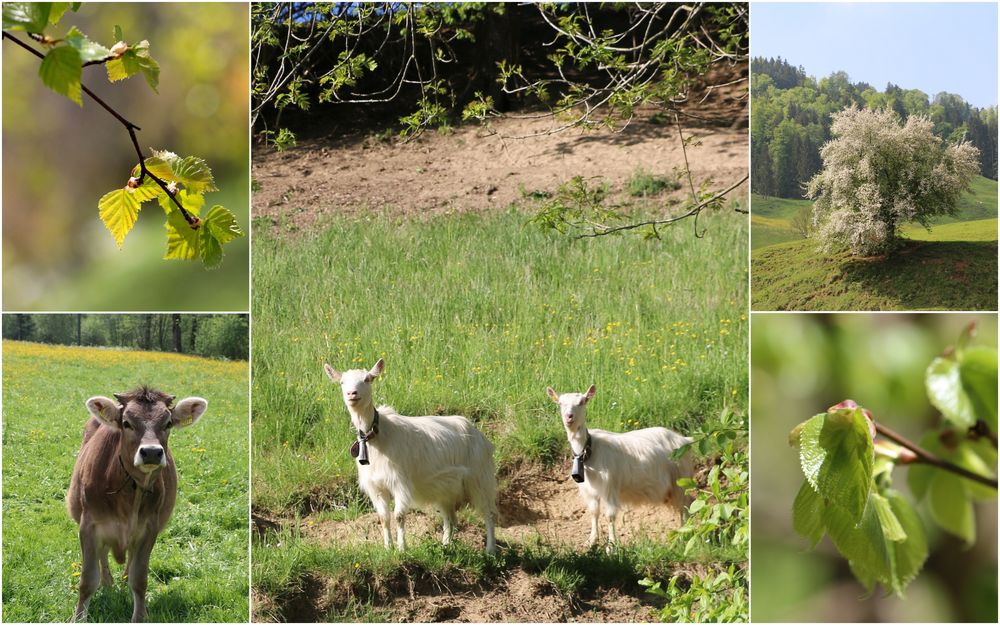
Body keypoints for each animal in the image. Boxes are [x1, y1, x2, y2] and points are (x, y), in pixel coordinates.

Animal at [66, 386, 207, 620]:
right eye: (126, 423)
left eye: (168, 423)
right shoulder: (88, 525)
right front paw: (78, 618)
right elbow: (87, 581)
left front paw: (139, 616)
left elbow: (139, 579)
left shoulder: (149, 528)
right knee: (103, 556)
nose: (151, 452)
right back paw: (108, 582)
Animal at [326, 356, 498, 552]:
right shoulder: (377, 487)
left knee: (489, 513)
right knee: (450, 518)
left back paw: (490, 551)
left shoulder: (400, 482)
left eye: (367, 379)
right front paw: (387, 547)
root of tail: (480, 435)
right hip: (445, 488)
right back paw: (445, 546)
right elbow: (383, 518)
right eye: (342, 382)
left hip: (480, 478)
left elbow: (399, 516)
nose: (352, 394)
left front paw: (402, 548)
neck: (378, 436)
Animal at [548, 382, 696, 544]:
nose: (569, 417)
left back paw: (685, 535)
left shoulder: (610, 486)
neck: (589, 450)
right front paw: (592, 540)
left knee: (686, 504)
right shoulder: (590, 491)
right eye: (560, 403)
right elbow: (594, 512)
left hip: (680, 480)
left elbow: (610, 516)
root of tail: (685, 440)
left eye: (582, 402)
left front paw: (611, 544)